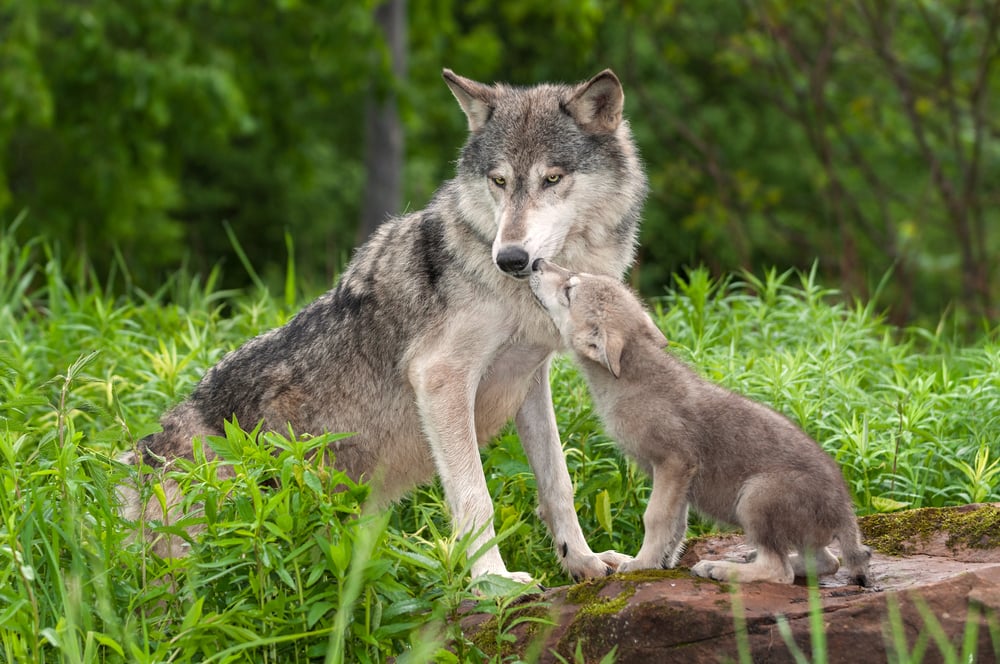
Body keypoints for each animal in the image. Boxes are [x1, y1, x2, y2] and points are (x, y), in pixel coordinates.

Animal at [118, 69, 647, 584]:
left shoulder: (530, 379)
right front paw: (493, 582)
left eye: (552, 178)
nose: (510, 258)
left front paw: (582, 560)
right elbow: (476, 498)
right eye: (499, 180)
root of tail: (132, 470)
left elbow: (557, 481)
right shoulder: (440, 379)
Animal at [528, 259, 871, 586]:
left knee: (780, 570)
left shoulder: (674, 462)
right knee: (828, 562)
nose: (536, 263)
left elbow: (655, 517)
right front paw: (662, 561)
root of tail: (845, 510)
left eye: (569, 290)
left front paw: (641, 563)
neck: (631, 380)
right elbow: (676, 525)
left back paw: (719, 568)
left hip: (754, 498)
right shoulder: (678, 478)